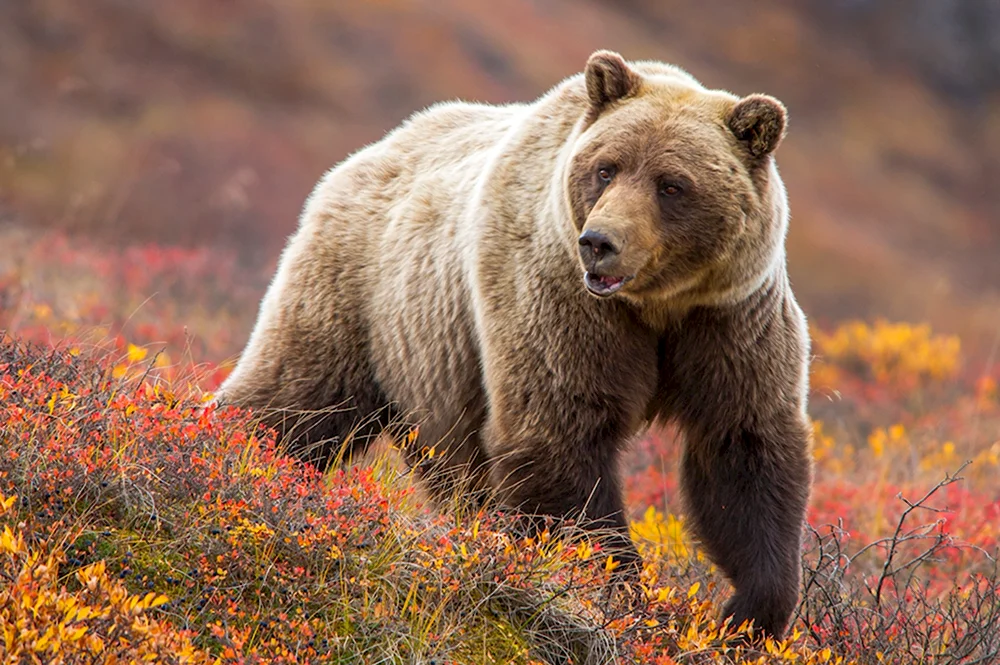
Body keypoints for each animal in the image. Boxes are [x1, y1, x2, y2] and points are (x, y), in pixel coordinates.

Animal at [217, 49, 812, 636]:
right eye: (607, 168)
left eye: (672, 184)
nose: (599, 243)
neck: (656, 305)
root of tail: (370, 153)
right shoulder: (559, 302)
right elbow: (559, 437)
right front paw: (615, 589)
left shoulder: (729, 321)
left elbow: (743, 447)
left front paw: (750, 613)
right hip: (361, 295)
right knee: (295, 398)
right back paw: (236, 453)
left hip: (437, 375)